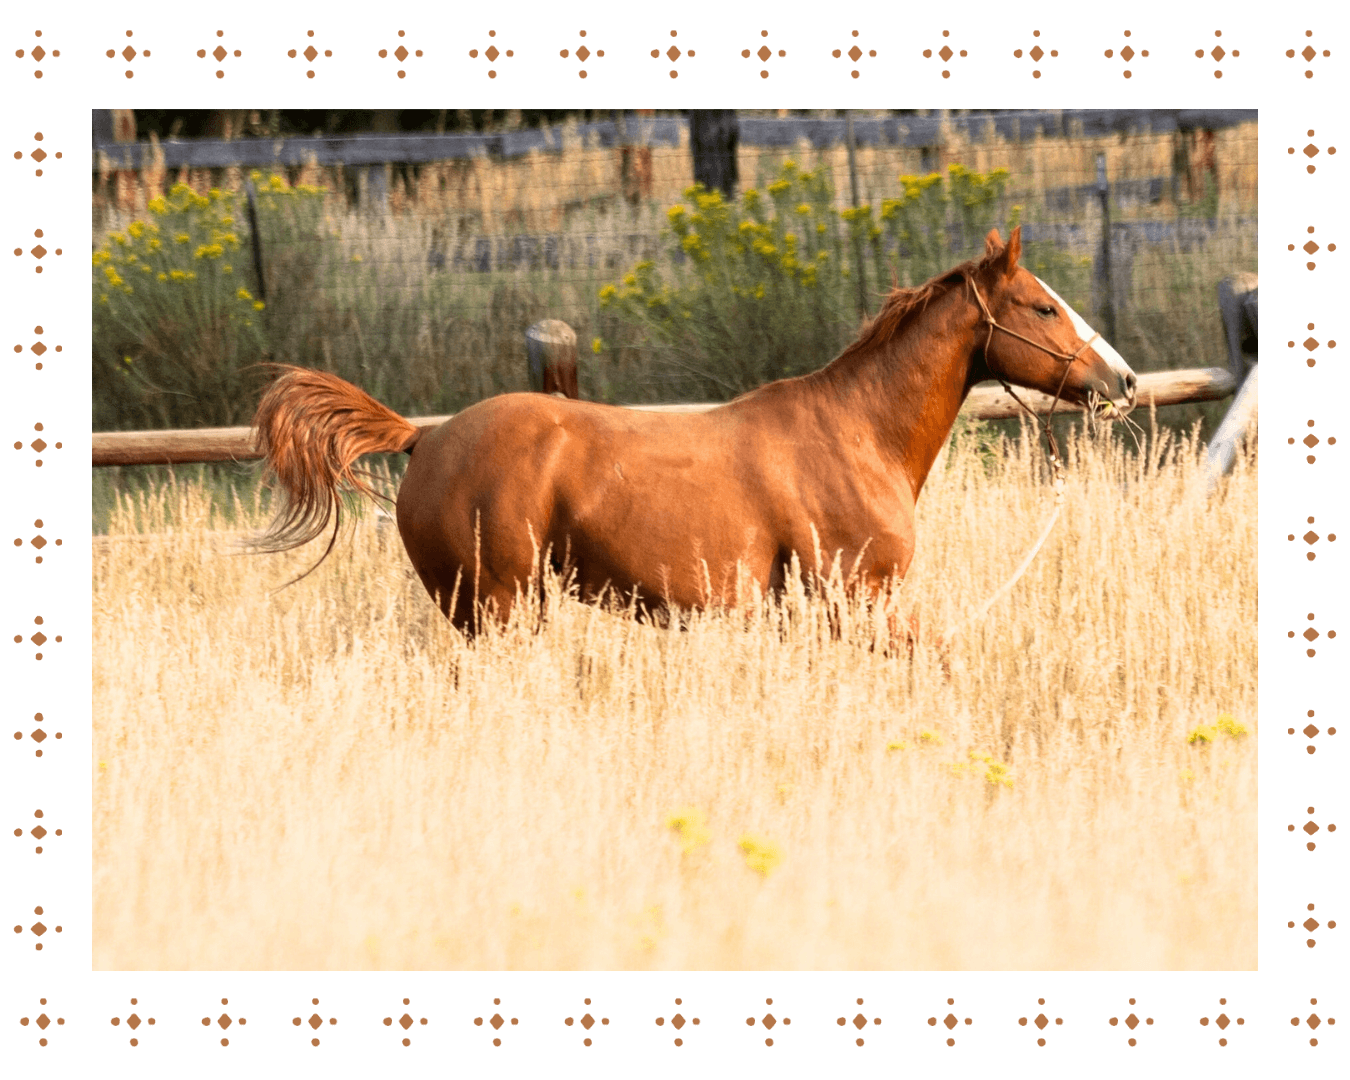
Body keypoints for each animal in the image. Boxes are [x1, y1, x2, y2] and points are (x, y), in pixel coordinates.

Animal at [250, 226, 1137, 642]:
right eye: (1044, 306)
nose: (1123, 383)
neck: (857, 435)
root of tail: (422, 440)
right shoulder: (860, 598)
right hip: (495, 607)